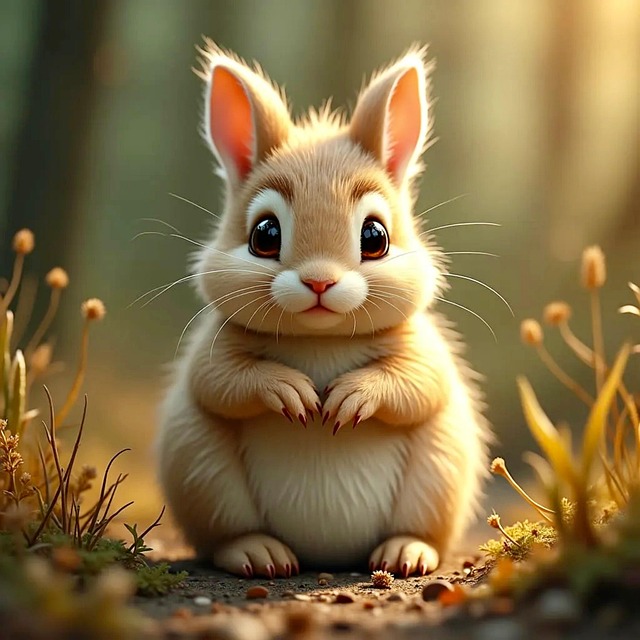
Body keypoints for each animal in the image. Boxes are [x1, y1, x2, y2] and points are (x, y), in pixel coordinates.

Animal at [156, 40, 491, 579]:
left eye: (375, 237)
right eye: (264, 235)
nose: (319, 281)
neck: (320, 338)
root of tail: (325, 554)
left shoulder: (423, 350)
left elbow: (418, 382)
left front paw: (350, 397)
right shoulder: (212, 349)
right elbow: (219, 381)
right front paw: (289, 390)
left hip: (438, 474)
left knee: (419, 531)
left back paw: (406, 553)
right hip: (206, 476)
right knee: (226, 536)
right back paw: (259, 554)